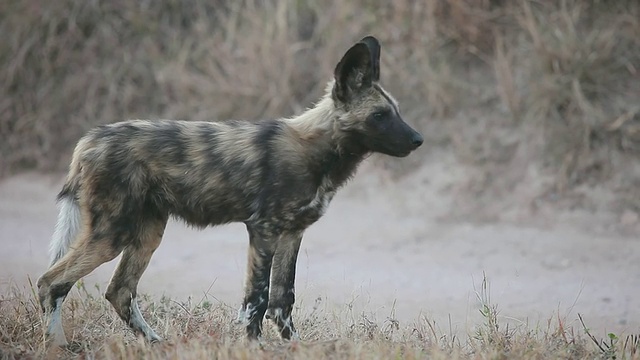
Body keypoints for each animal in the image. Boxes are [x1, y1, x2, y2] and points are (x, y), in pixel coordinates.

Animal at [37, 35, 422, 344]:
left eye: (397, 112)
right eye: (380, 115)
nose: (418, 139)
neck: (319, 150)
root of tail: (89, 139)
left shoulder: (292, 234)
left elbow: (282, 299)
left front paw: (293, 347)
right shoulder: (263, 231)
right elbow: (257, 300)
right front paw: (254, 347)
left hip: (147, 233)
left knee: (119, 292)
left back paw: (156, 344)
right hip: (112, 234)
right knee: (51, 283)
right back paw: (59, 346)